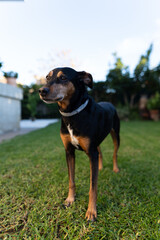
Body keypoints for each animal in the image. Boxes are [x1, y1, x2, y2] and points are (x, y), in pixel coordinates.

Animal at [38, 67, 119, 221]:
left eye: (63, 78)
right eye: (47, 77)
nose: (41, 91)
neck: (72, 113)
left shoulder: (91, 152)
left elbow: (93, 187)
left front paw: (91, 212)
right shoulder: (69, 151)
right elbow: (71, 180)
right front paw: (70, 200)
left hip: (116, 135)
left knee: (114, 153)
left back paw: (116, 168)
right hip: (96, 143)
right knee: (100, 153)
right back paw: (100, 167)